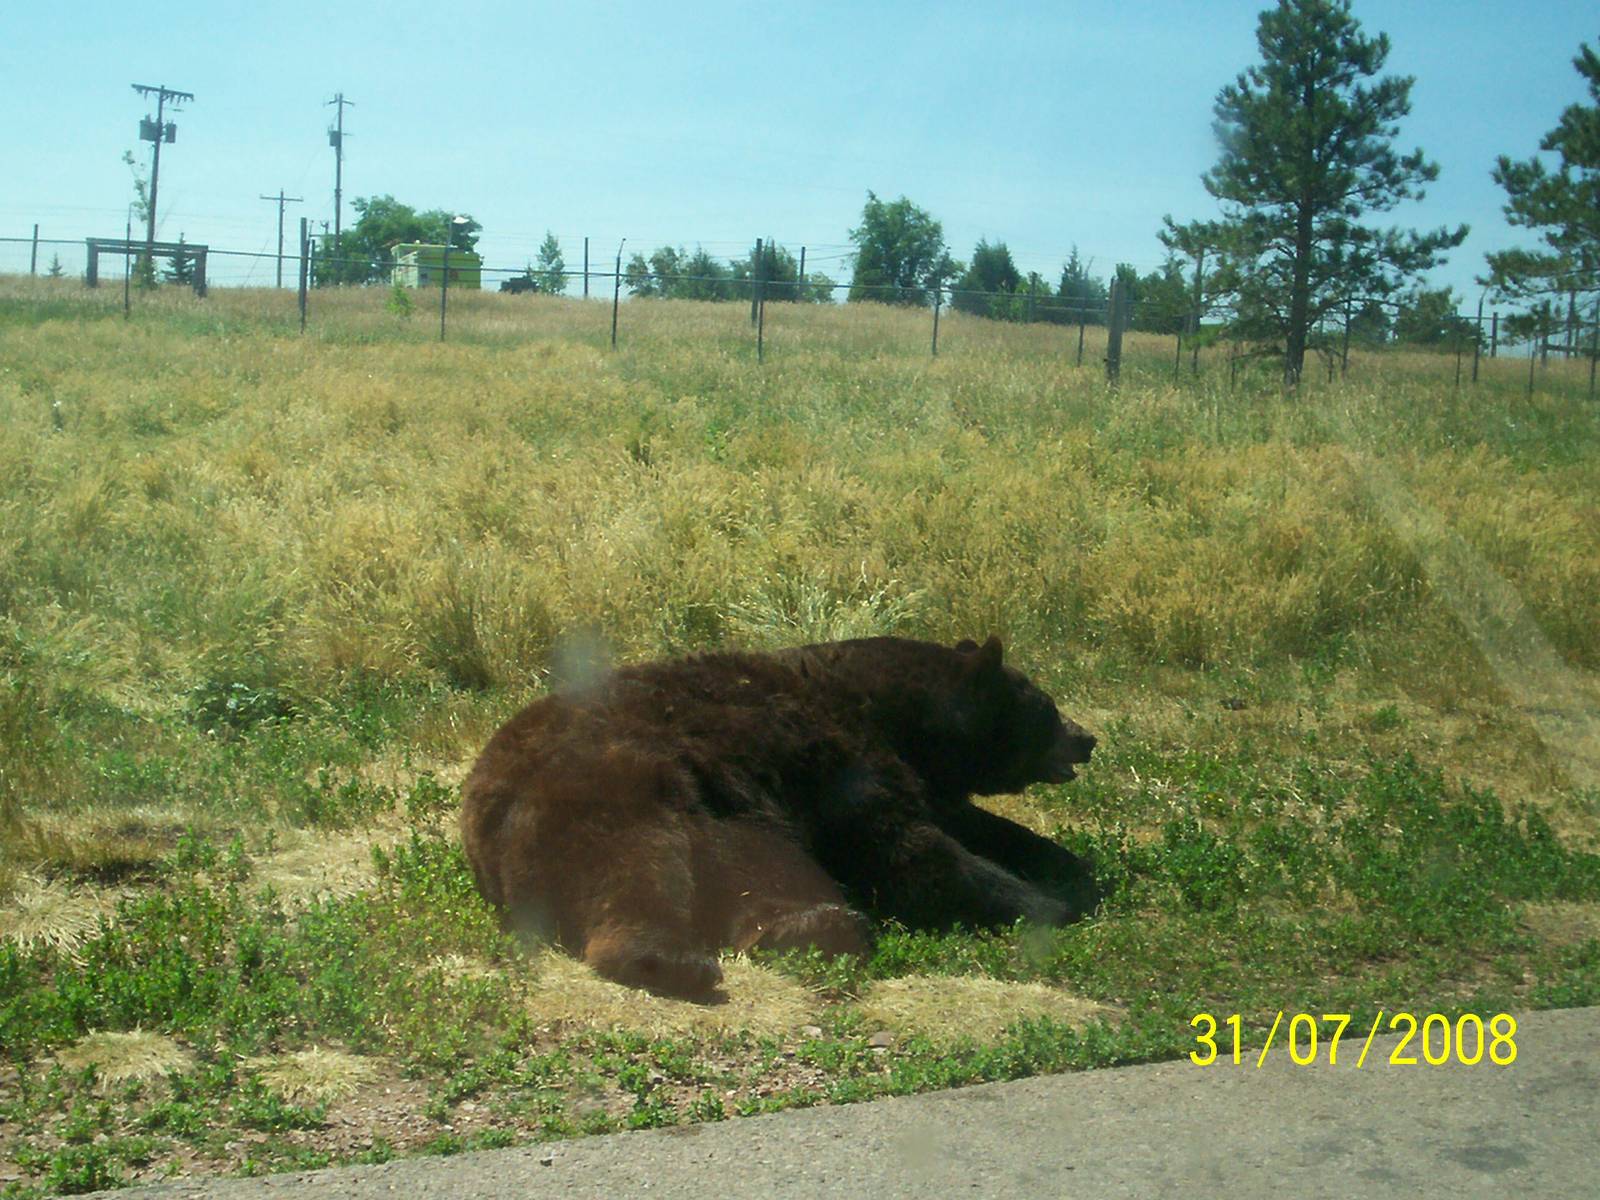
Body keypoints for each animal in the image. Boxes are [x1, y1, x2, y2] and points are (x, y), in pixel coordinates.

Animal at [460, 635, 1098, 1000]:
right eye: (1046, 708)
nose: (1086, 737)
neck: (902, 718)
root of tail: (481, 807)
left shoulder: (920, 779)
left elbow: (978, 825)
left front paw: (1073, 871)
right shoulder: (843, 765)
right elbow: (907, 849)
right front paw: (1041, 902)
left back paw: (812, 927)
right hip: (620, 783)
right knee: (641, 864)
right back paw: (673, 959)